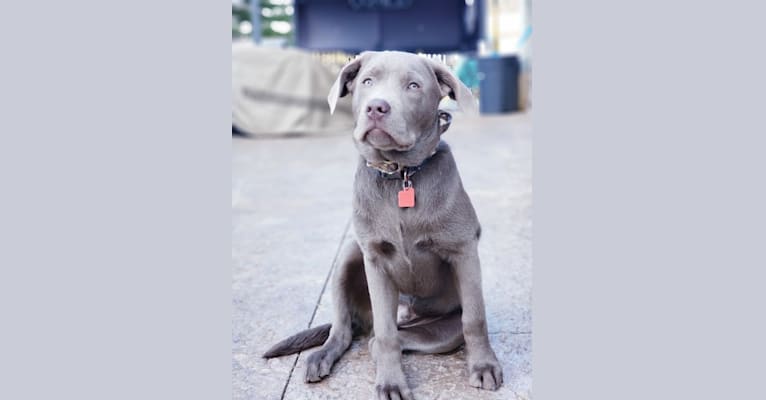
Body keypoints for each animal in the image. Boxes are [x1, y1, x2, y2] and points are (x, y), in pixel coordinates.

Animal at [264, 51, 504, 400]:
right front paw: (391, 383)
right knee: (350, 331)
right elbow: (386, 331)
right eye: (367, 81)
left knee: (382, 339)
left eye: (414, 86)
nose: (377, 107)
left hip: (443, 330)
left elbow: (475, 319)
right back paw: (322, 356)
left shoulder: (464, 251)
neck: (400, 173)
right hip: (349, 254)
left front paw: (484, 366)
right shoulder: (375, 260)